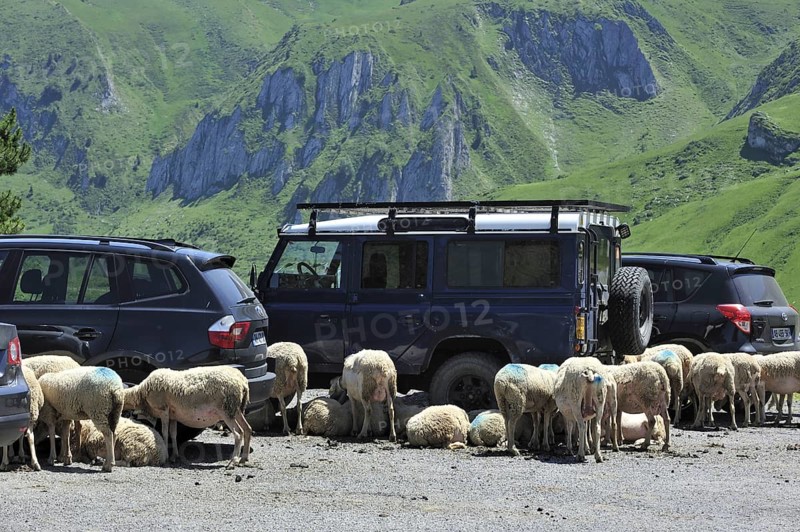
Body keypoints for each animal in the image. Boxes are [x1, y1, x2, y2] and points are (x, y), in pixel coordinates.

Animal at [123, 366, 252, 468]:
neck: (141, 393)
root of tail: (242, 382)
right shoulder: (173, 415)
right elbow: (173, 433)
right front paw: (174, 456)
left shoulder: (163, 410)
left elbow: (164, 432)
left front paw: (167, 455)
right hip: (236, 409)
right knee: (247, 429)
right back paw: (243, 459)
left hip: (226, 410)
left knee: (238, 433)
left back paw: (233, 461)